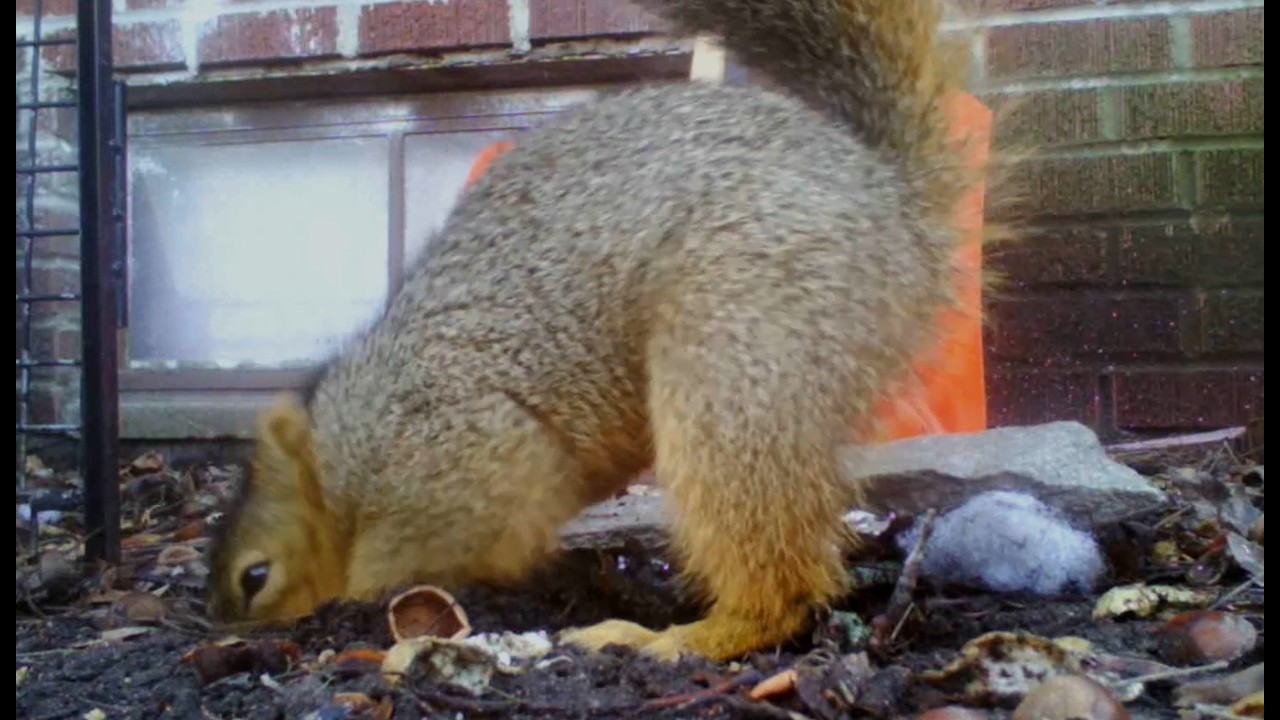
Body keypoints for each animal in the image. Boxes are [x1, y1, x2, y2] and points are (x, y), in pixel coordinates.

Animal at [206, 0, 989, 662]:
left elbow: (410, 557)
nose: (233, 633)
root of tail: (897, 210)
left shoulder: (459, 461)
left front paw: (361, 596)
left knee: (779, 574)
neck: (347, 462)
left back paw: (680, 637)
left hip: (737, 353)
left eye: (255, 576)